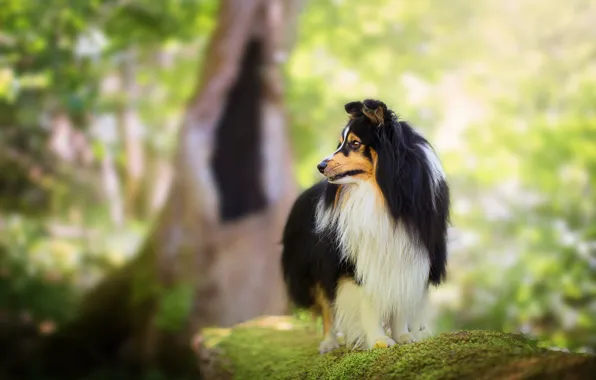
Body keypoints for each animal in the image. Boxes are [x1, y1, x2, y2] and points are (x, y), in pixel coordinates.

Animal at [282, 98, 450, 354]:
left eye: (355, 143)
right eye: (341, 143)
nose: (320, 165)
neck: (382, 195)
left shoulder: (410, 254)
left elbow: (398, 299)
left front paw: (403, 335)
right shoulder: (354, 260)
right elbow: (367, 303)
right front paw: (379, 340)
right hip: (318, 267)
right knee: (326, 305)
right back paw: (329, 342)